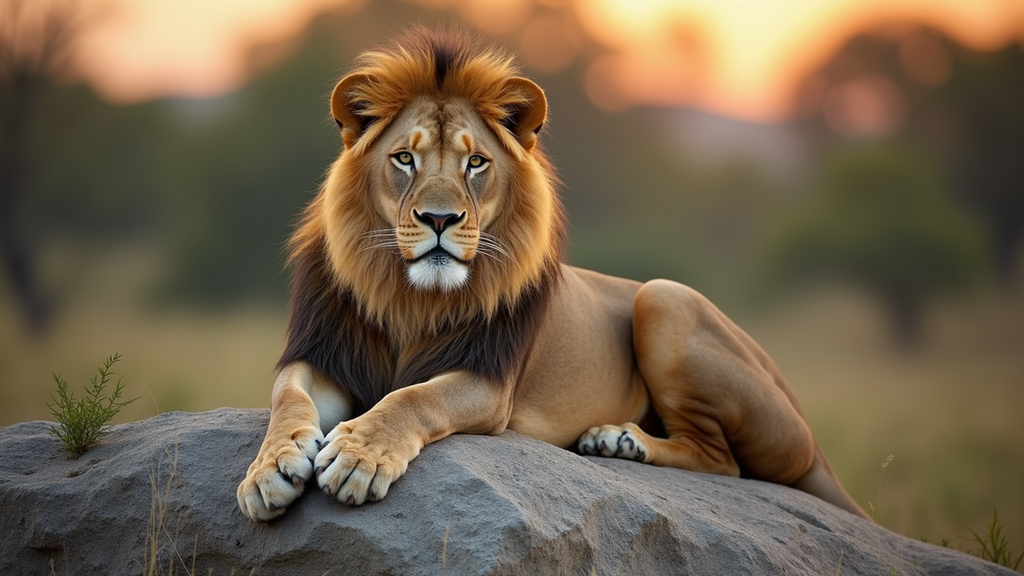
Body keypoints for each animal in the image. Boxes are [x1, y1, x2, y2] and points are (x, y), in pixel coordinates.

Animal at [237, 28, 869, 522]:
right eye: (404, 159)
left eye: (476, 163)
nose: (439, 219)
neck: (409, 296)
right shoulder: (320, 354)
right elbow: (287, 400)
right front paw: (268, 470)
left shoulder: (488, 380)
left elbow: (412, 398)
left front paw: (359, 455)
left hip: (665, 300)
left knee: (725, 462)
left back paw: (620, 441)